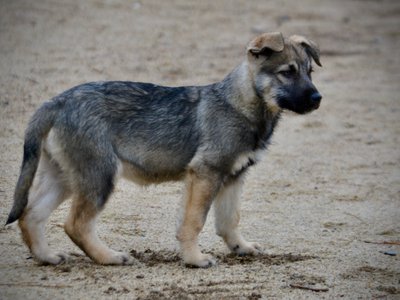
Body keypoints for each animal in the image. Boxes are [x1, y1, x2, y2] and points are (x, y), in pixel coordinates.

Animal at [7, 32, 322, 268]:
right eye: (287, 73)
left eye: (309, 72)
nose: (318, 98)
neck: (241, 104)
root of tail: (57, 101)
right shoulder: (206, 174)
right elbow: (194, 222)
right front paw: (195, 259)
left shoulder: (233, 177)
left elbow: (228, 221)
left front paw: (240, 247)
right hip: (99, 177)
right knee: (76, 225)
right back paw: (110, 257)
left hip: (65, 178)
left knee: (31, 214)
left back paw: (47, 257)